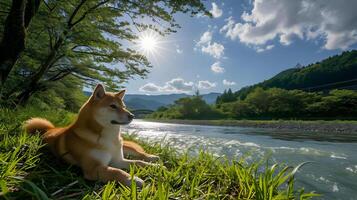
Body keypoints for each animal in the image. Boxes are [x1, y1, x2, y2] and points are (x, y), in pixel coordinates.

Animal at [24, 83, 158, 188]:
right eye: (113, 106)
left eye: (124, 107)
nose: (132, 116)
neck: (109, 139)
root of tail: (49, 129)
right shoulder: (94, 168)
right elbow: (117, 171)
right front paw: (133, 179)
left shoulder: (118, 159)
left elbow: (138, 162)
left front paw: (154, 167)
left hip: (125, 146)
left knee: (139, 154)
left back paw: (152, 158)